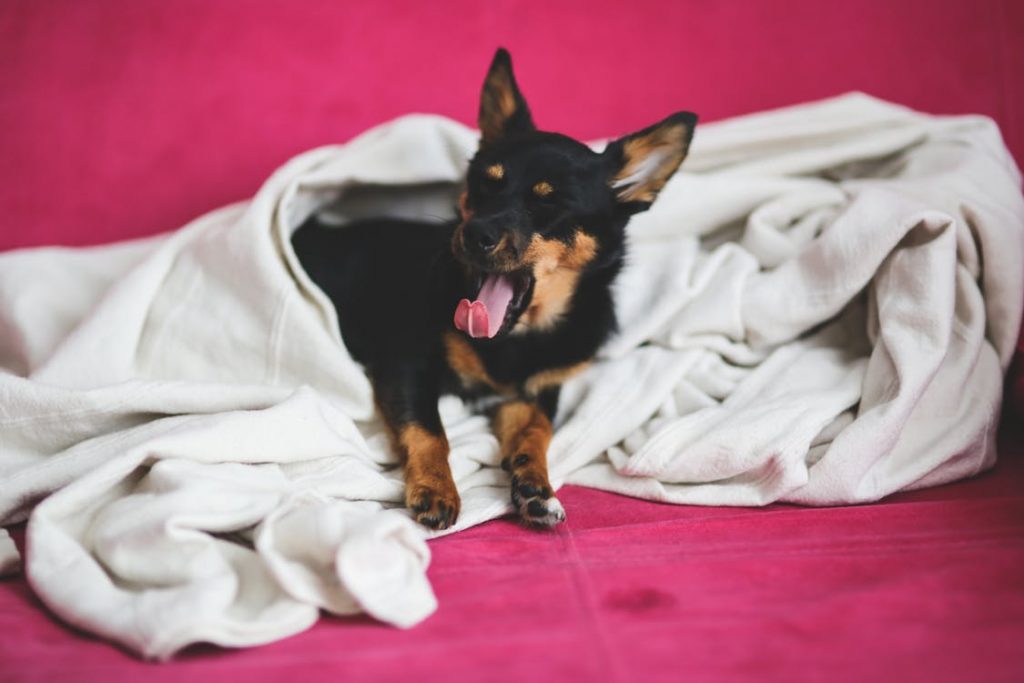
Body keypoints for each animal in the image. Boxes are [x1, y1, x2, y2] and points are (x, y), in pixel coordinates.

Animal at [292, 49, 700, 528]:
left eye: (550, 205)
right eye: (483, 185)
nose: (474, 234)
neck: (519, 336)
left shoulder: (535, 393)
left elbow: (538, 431)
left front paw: (537, 486)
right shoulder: (405, 364)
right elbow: (429, 429)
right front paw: (436, 488)